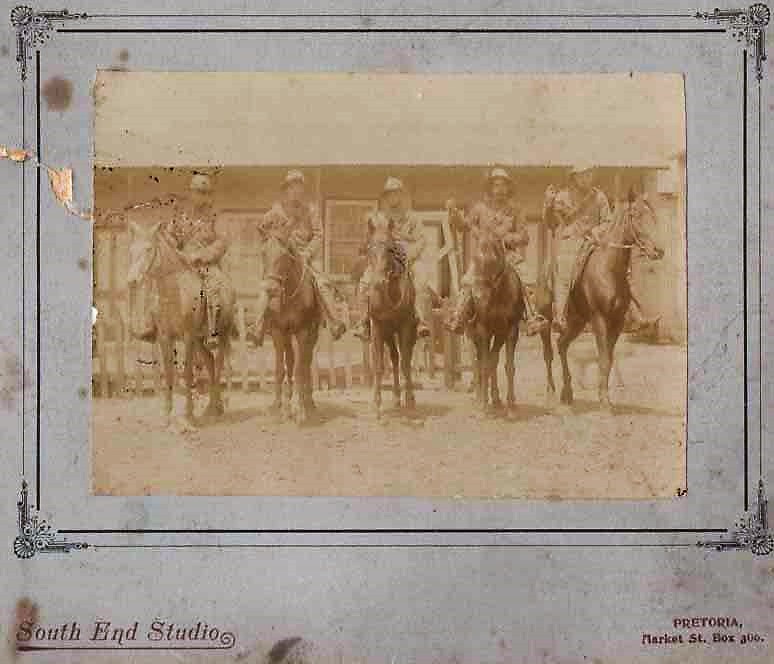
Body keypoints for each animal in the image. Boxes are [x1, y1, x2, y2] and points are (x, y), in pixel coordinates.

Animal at [260, 231, 322, 422]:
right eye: (263, 254)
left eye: (283, 256)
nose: (271, 289)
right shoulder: (278, 332)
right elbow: (280, 368)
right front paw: (278, 407)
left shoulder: (302, 332)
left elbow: (300, 370)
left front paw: (300, 409)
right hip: (288, 336)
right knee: (291, 360)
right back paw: (288, 403)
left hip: (312, 334)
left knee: (305, 363)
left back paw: (308, 403)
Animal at [366, 230, 416, 416]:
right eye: (369, 250)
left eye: (389, 250)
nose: (378, 282)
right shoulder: (378, 328)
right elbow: (379, 366)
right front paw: (376, 404)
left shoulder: (405, 327)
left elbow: (406, 363)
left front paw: (410, 401)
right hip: (388, 334)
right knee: (394, 357)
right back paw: (395, 398)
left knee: (404, 358)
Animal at [466, 231, 528, 412]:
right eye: (474, 260)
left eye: (494, 261)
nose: (477, 296)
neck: (498, 295)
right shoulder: (482, 330)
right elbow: (484, 365)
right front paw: (483, 406)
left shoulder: (511, 330)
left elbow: (508, 367)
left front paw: (511, 407)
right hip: (473, 335)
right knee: (479, 362)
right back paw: (480, 398)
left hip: (498, 335)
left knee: (493, 360)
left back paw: (496, 400)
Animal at [544, 192, 668, 410]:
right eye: (635, 215)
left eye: (652, 215)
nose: (658, 250)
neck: (609, 270)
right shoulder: (599, 319)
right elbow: (603, 358)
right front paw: (604, 402)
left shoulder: (617, 322)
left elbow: (608, 359)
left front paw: (606, 397)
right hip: (549, 320)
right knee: (549, 352)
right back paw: (551, 392)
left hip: (577, 322)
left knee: (561, 345)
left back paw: (567, 393)